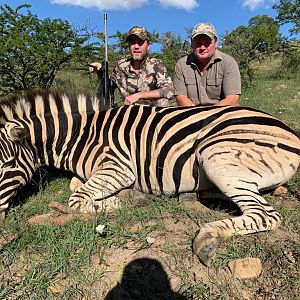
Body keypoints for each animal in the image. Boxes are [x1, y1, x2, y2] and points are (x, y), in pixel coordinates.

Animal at [0, 89, 298, 264]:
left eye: (9, 164)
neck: (81, 136)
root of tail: (290, 131)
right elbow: (77, 185)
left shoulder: (119, 166)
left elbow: (77, 198)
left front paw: (126, 200)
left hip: (217, 155)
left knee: (265, 215)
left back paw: (207, 239)